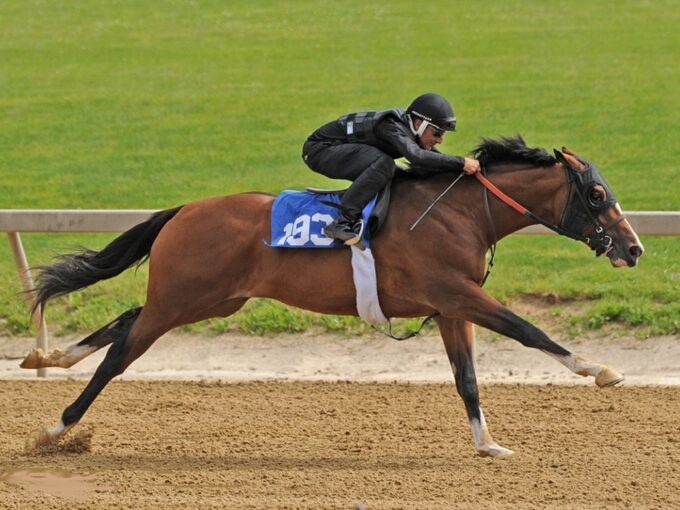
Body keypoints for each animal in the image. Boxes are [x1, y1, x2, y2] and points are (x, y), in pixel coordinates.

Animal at [19, 136, 644, 458]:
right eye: (596, 193)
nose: (634, 248)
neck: (461, 213)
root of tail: (185, 210)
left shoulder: (449, 307)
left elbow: (467, 378)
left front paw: (488, 444)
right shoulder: (458, 293)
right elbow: (529, 330)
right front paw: (601, 370)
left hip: (209, 298)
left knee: (127, 318)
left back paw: (48, 356)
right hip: (183, 299)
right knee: (119, 357)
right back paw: (55, 429)